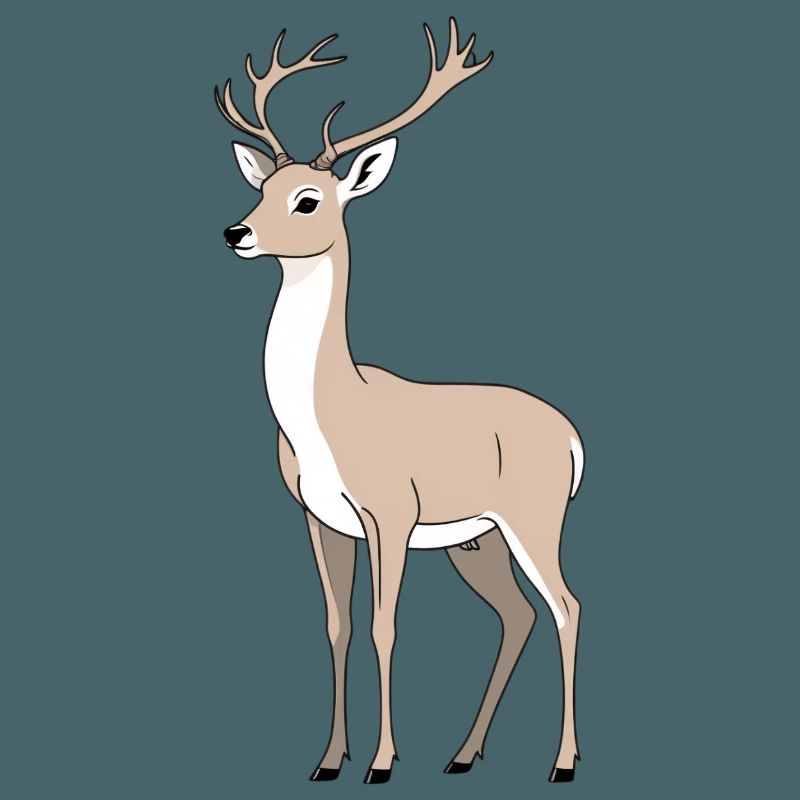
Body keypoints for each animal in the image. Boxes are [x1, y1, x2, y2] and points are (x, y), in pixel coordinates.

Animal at [215, 18, 584, 786]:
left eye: (309, 199)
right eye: (266, 188)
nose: (236, 232)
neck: (331, 413)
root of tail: (571, 437)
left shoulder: (390, 513)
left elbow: (386, 626)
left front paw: (382, 763)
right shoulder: (319, 518)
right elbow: (338, 627)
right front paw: (328, 760)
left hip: (534, 518)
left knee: (566, 606)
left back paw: (562, 762)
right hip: (478, 538)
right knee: (518, 615)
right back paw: (464, 755)